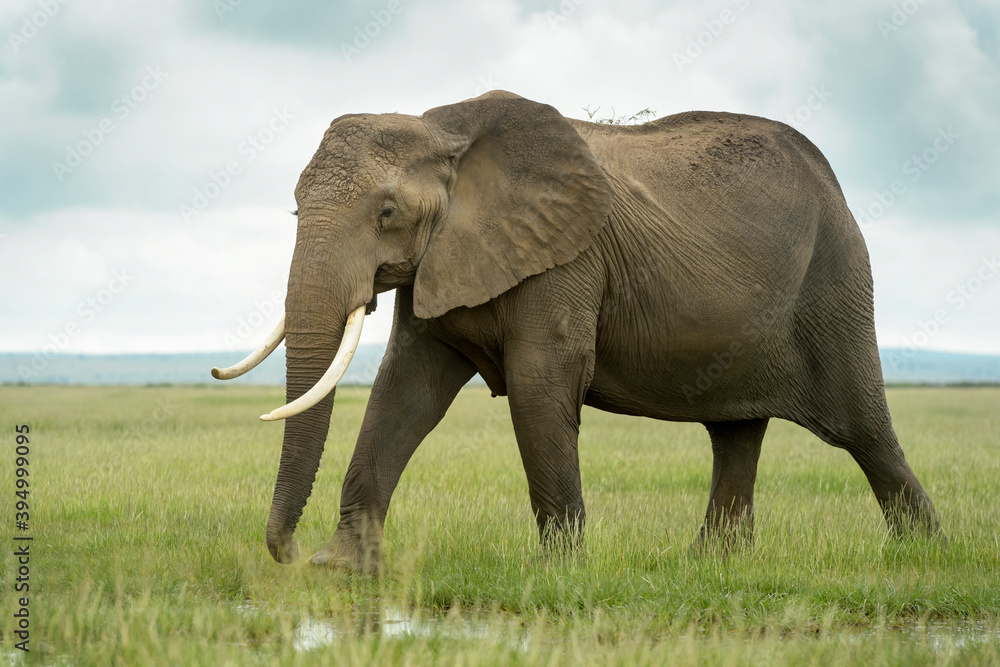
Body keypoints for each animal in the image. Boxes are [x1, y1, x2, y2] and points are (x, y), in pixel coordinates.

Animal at [212, 90, 942, 572]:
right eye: (296, 209)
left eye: (387, 212)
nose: (288, 553)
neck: (445, 131)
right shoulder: (441, 263)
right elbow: (405, 393)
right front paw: (341, 569)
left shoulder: (566, 258)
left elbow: (539, 385)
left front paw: (558, 576)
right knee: (735, 434)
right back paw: (711, 564)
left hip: (836, 283)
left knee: (863, 428)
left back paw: (925, 553)